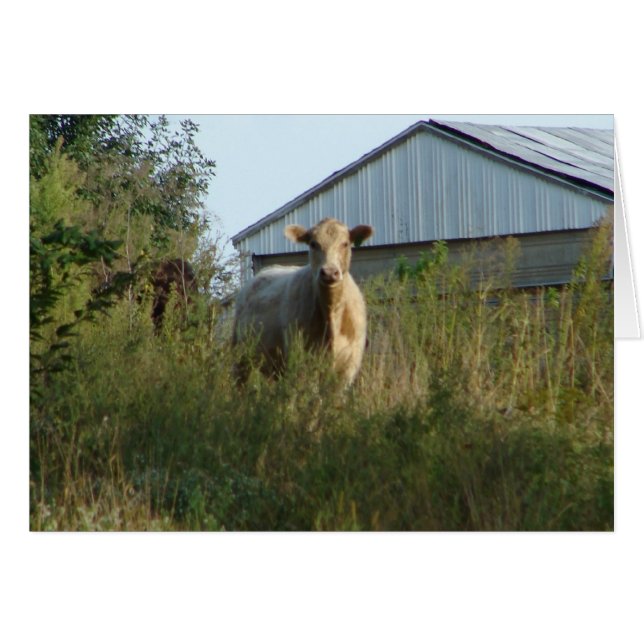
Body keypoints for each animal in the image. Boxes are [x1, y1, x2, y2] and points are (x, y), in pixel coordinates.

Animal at [232, 218, 374, 385]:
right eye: (313, 244)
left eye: (345, 243)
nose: (329, 273)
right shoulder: (302, 360)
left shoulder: (348, 366)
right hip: (241, 360)